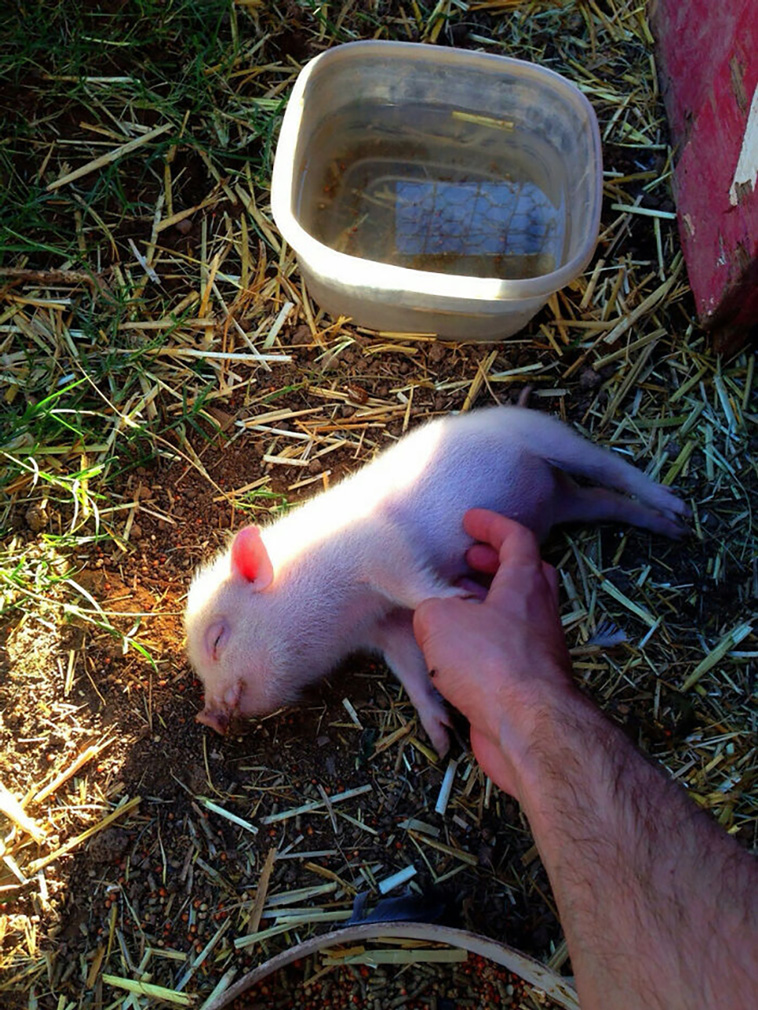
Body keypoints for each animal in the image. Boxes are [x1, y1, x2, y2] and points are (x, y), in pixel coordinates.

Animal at [185, 405, 689, 754]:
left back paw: (677, 507)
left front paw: (463, 598)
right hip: (567, 501)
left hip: (545, 435)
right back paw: (673, 528)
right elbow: (408, 662)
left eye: (217, 639)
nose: (205, 716)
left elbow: (415, 585)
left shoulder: (377, 546)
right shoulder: (384, 626)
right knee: (604, 499)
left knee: (609, 467)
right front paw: (442, 739)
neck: (344, 614)